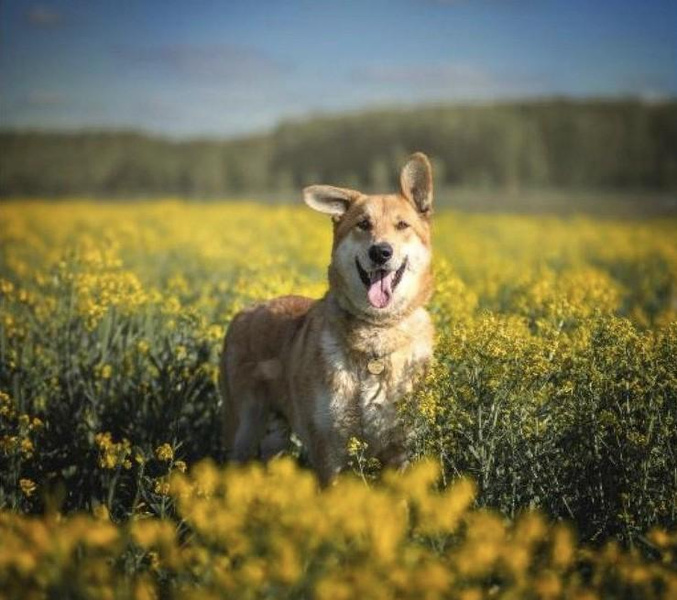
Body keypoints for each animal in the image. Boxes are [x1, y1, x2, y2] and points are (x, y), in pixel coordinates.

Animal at [219, 152, 436, 486]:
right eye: (363, 224)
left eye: (403, 225)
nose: (381, 252)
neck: (375, 336)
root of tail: (246, 310)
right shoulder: (329, 450)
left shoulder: (398, 450)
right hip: (243, 430)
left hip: (276, 434)